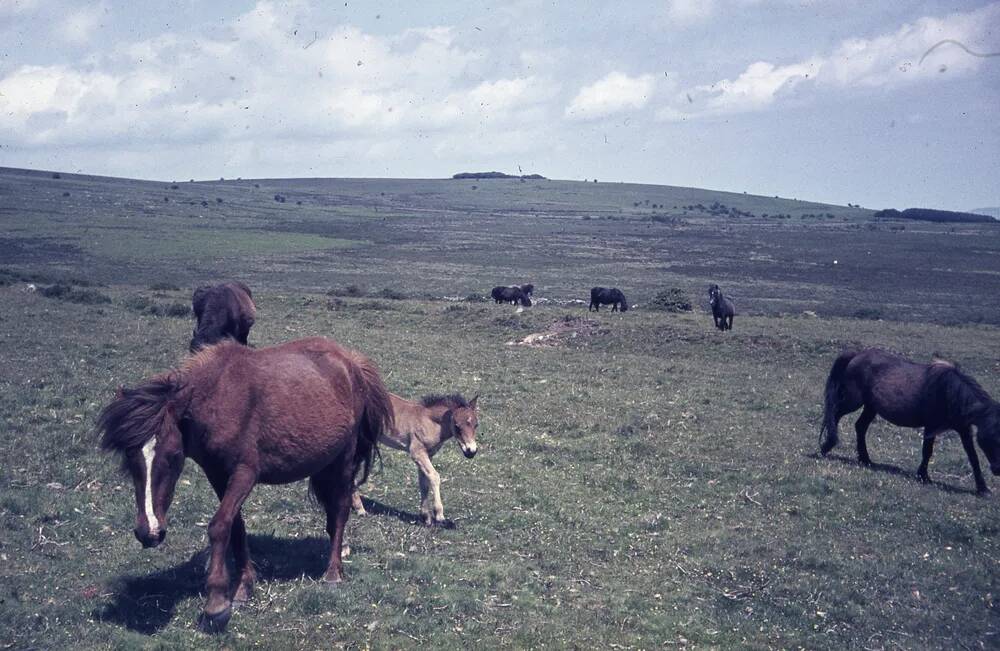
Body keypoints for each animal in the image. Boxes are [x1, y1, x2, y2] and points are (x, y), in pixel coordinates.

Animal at [94, 338, 390, 636]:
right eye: (130, 457)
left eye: (173, 456)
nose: (149, 532)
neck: (219, 399)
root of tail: (351, 362)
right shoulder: (217, 474)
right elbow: (235, 526)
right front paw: (242, 588)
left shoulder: (244, 473)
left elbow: (219, 526)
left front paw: (216, 605)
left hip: (344, 460)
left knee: (340, 510)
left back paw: (333, 573)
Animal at [352, 392, 480, 524]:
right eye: (457, 426)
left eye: (476, 425)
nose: (471, 451)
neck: (430, 423)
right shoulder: (417, 452)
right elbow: (434, 476)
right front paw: (439, 515)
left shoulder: (428, 455)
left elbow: (424, 482)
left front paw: (426, 517)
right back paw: (360, 509)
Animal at [820, 352, 1000, 494]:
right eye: (992, 438)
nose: (997, 470)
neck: (948, 391)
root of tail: (856, 354)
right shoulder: (931, 426)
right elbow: (927, 451)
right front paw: (923, 476)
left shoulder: (964, 429)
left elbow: (973, 456)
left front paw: (983, 489)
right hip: (853, 401)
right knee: (834, 414)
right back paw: (826, 446)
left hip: (870, 407)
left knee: (860, 427)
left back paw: (865, 459)